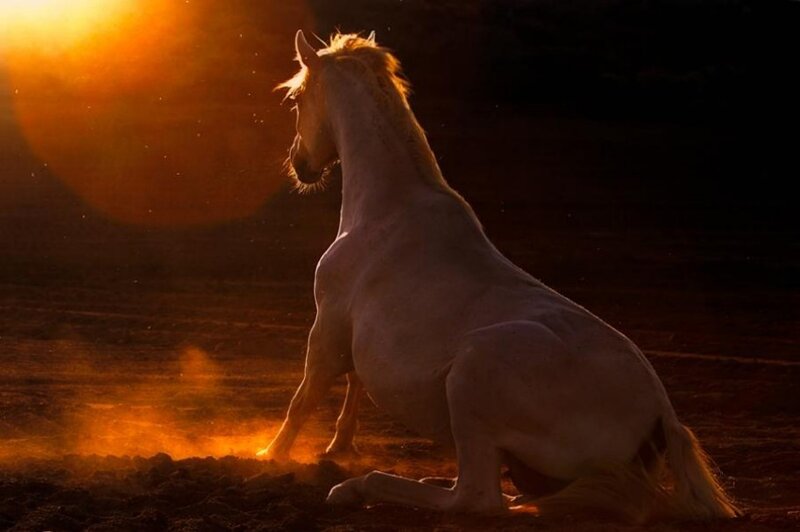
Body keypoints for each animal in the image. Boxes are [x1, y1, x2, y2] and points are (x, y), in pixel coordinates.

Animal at [263, 30, 741, 522]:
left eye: (296, 98)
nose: (300, 164)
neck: (385, 209)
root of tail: (661, 416)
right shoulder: (350, 333)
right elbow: (353, 384)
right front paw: (336, 446)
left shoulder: (326, 329)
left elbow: (304, 398)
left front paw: (270, 455)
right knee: (512, 498)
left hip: (473, 375)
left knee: (476, 498)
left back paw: (358, 488)